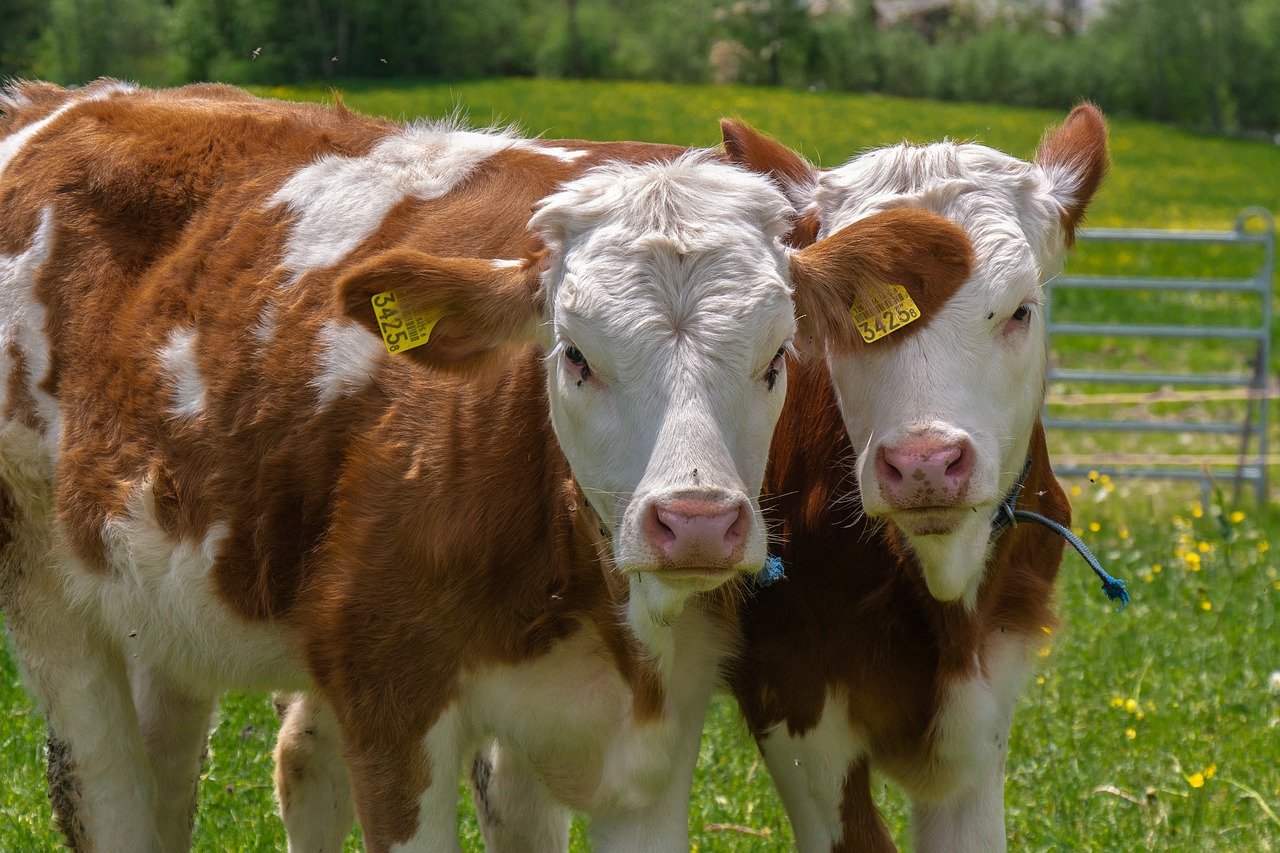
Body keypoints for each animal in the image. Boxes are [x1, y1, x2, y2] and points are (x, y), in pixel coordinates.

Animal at [0, 81, 967, 850]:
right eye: (573, 354)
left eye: (777, 358)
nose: (694, 522)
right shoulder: (389, 698)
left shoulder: (654, 742)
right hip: (46, 583)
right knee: (103, 784)